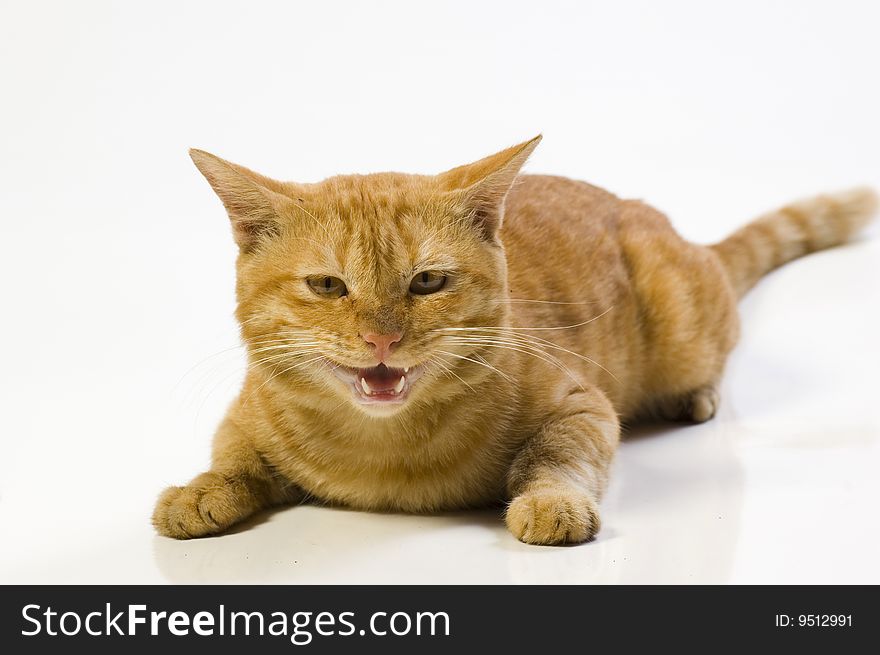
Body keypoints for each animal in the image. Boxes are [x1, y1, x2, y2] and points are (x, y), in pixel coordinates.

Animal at [155, 138, 876, 548]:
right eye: (328, 285)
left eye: (428, 281)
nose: (382, 336)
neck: (383, 453)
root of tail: (682, 234)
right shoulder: (242, 413)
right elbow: (234, 457)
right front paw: (200, 490)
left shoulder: (584, 404)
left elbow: (557, 453)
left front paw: (552, 500)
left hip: (685, 329)